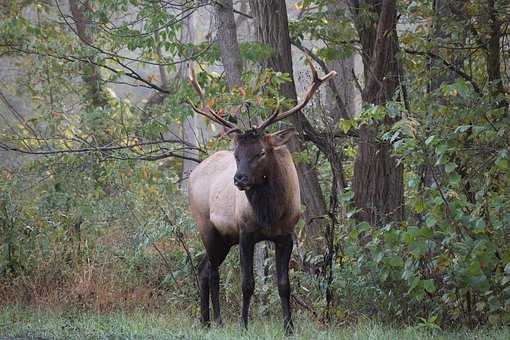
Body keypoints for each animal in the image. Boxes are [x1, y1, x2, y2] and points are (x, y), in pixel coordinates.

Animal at [187, 61, 334, 334]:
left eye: (261, 152)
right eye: (236, 153)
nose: (239, 179)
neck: (270, 214)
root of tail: (193, 174)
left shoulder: (286, 235)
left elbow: (284, 284)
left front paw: (289, 327)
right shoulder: (245, 233)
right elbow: (248, 283)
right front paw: (243, 325)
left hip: (225, 238)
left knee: (204, 268)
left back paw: (209, 321)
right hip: (207, 226)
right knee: (211, 272)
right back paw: (214, 321)